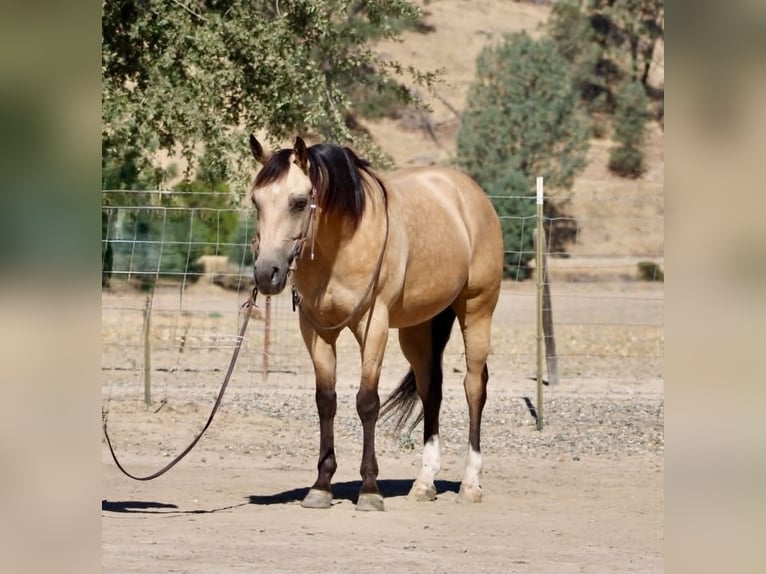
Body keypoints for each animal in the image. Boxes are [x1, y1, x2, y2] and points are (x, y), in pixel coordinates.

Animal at [248, 135, 503, 511]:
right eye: (257, 201)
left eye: (298, 202)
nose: (267, 274)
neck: (342, 242)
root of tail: (469, 193)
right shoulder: (317, 331)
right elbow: (326, 400)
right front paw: (321, 486)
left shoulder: (373, 326)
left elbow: (367, 402)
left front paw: (369, 489)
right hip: (418, 329)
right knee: (432, 390)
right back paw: (424, 483)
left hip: (477, 310)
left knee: (474, 387)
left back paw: (471, 483)